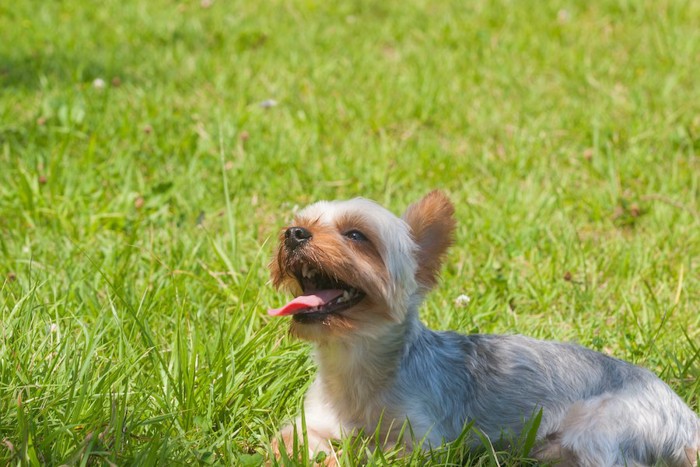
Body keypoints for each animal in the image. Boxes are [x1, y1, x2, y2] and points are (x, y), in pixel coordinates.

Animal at [266, 191, 696, 467]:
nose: (293, 233)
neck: (352, 362)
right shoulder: (312, 421)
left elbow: (376, 453)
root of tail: (688, 418)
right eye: (301, 223)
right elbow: (286, 440)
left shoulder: (423, 441)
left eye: (356, 235)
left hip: (598, 430)